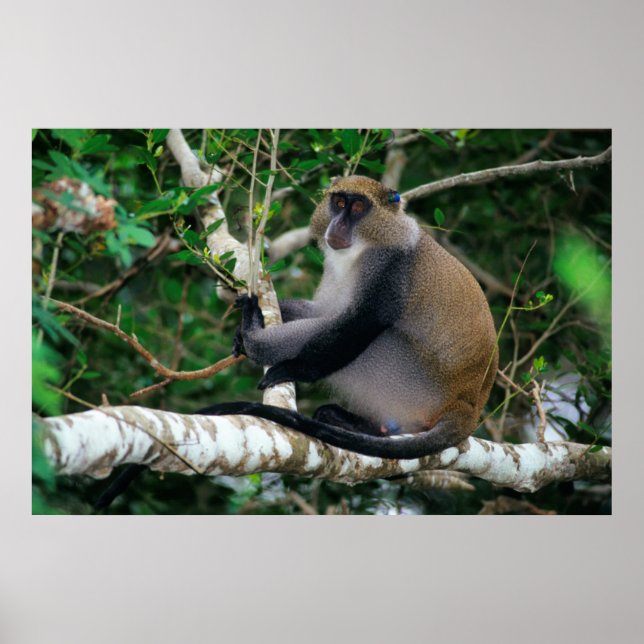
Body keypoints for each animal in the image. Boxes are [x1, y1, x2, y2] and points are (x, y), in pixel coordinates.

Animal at [199, 175, 498, 459]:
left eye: (357, 208)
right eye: (340, 203)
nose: (339, 224)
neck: (364, 247)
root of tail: (468, 406)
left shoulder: (389, 269)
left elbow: (360, 323)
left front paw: (292, 368)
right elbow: (326, 311)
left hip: (413, 384)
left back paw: (254, 338)